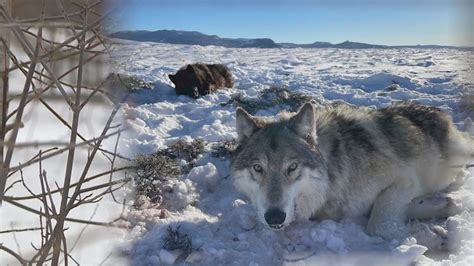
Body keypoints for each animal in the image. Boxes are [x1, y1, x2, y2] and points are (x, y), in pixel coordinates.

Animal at [231, 101, 472, 247]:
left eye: (292, 167)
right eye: (258, 168)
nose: (273, 217)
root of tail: (439, 111)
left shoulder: (405, 180)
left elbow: (377, 224)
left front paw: (432, 236)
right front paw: (439, 211)